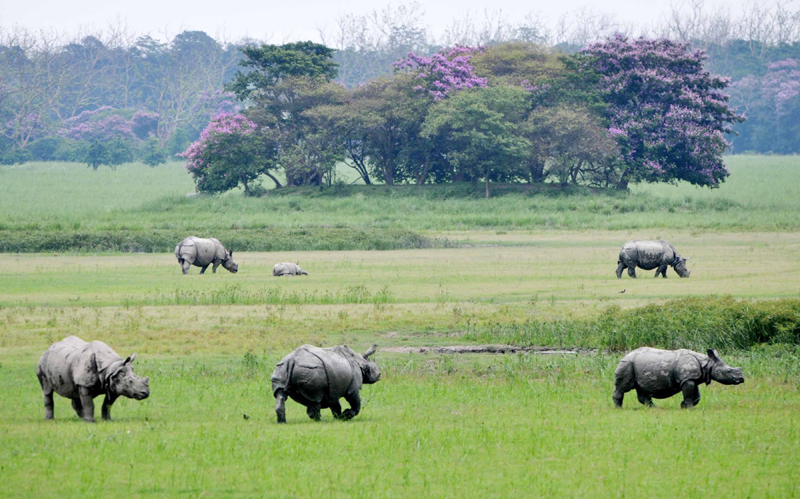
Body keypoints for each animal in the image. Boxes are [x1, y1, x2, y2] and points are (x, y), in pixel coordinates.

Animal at [613, 347, 744, 409]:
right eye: (728, 371)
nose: (742, 378)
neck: (707, 364)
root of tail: (626, 355)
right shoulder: (688, 379)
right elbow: (689, 394)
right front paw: (689, 408)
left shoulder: (691, 378)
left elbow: (696, 396)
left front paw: (683, 405)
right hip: (627, 364)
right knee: (623, 387)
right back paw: (619, 408)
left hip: (636, 365)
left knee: (641, 389)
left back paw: (654, 408)